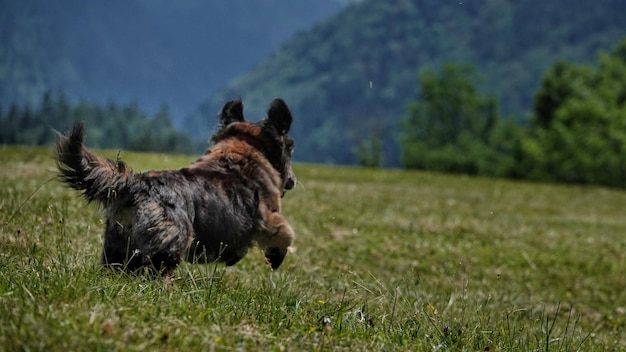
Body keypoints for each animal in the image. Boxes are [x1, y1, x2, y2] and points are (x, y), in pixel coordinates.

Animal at [55, 97, 294, 282]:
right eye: (291, 147)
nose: (292, 181)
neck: (242, 150)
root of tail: (134, 184)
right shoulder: (267, 216)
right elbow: (285, 232)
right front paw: (275, 257)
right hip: (172, 237)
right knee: (159, 270)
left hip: (117, 242)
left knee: (117, 267)